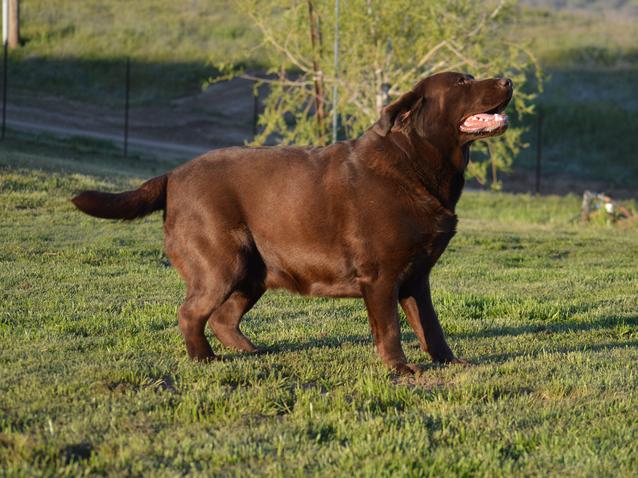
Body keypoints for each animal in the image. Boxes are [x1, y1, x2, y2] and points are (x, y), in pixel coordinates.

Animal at [74, 72, 516, 374]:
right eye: (462, 82)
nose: (508, 79)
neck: (416, 163)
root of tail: (172, 175)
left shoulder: (416, 276)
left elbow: (431, 326)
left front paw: (448, 361)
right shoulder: (381, 276)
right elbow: (389, 327)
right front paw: (399, 368)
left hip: (254, 271)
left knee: (221, 317)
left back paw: (251, 351)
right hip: (222, 262)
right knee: (191, 312)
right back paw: (204, 359)